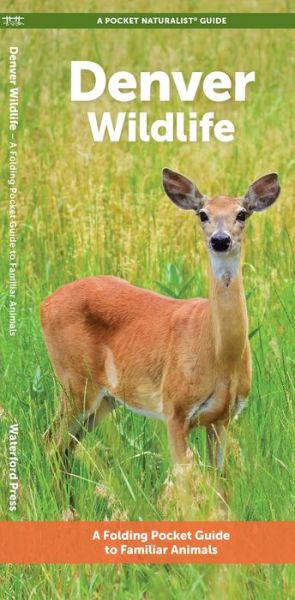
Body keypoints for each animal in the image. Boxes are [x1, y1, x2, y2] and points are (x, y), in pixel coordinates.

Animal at [40, 169, 280, 488]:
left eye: (242, 213)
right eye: (203, 214)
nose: (220, 240)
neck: (219, 355)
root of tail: (44, 304)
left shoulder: (223, 418)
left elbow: (219, 483)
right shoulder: (174, 408)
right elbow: (184, 481)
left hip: (104, 399)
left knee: (64, 449)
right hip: (73, 381)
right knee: (50, 442)